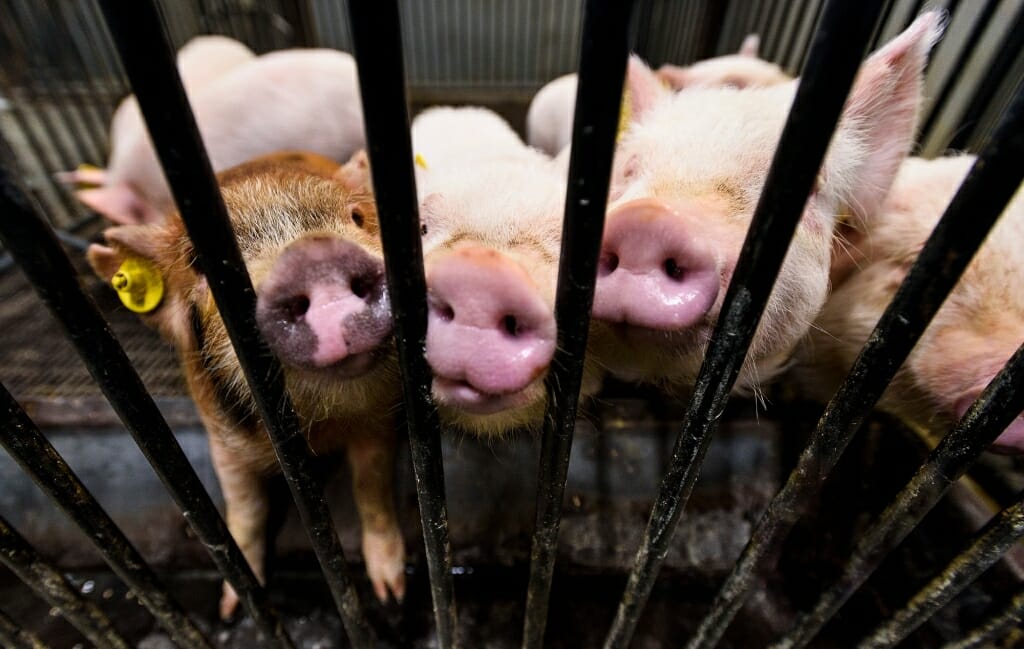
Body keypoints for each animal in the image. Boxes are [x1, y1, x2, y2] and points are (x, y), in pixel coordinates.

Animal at [86, 150, 403, 618]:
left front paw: (393, 594)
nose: (314, 255)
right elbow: (245, 508)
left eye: (357, 217)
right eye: (199, 264)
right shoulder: (222, 437)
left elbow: (372, 487)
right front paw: (231, 608)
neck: (320, 426)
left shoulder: (379, 421)